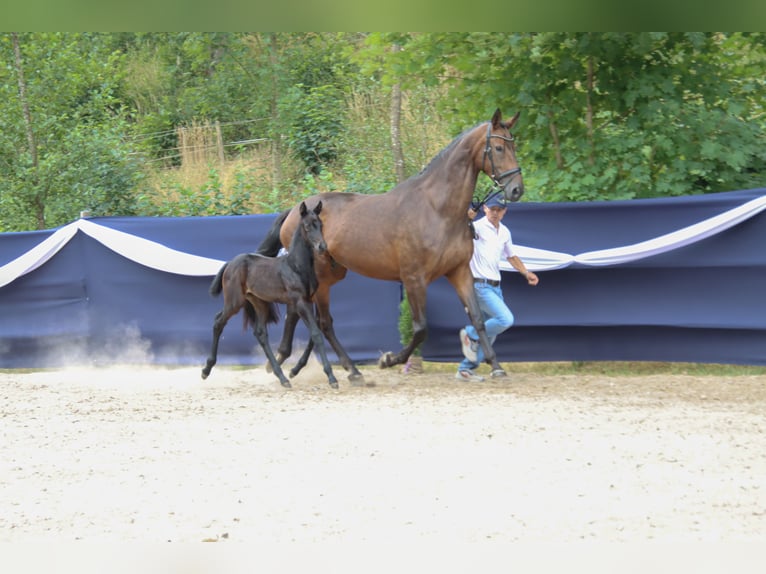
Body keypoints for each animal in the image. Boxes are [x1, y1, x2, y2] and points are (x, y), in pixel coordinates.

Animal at [201, 201, 338, 389]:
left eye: (320, 224)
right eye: (307, 226)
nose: (322, 246)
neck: (296, 267)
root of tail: (230, 263)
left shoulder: (308, 301)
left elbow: (314, 333)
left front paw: (296, 371)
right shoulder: (300, 302)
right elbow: (316, 334)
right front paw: (332, 378)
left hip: (259, 302)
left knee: (260, 333)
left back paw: (282, 377)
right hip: (234, 301)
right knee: (218, 322)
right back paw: (206, 369)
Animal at [257, 109, 524, 382]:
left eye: (514, 145)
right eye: (499, 147)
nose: (516, 189)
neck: (437, 210)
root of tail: (294, 211)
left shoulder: (459, 271)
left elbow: (478, 318)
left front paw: (496, 366)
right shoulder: (413, 278)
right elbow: (420, 329)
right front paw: (389, 360)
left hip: (332, 275)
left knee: (305, 317)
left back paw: (302, 364)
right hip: (319, 278)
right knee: (319, 321)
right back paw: (331, 367)